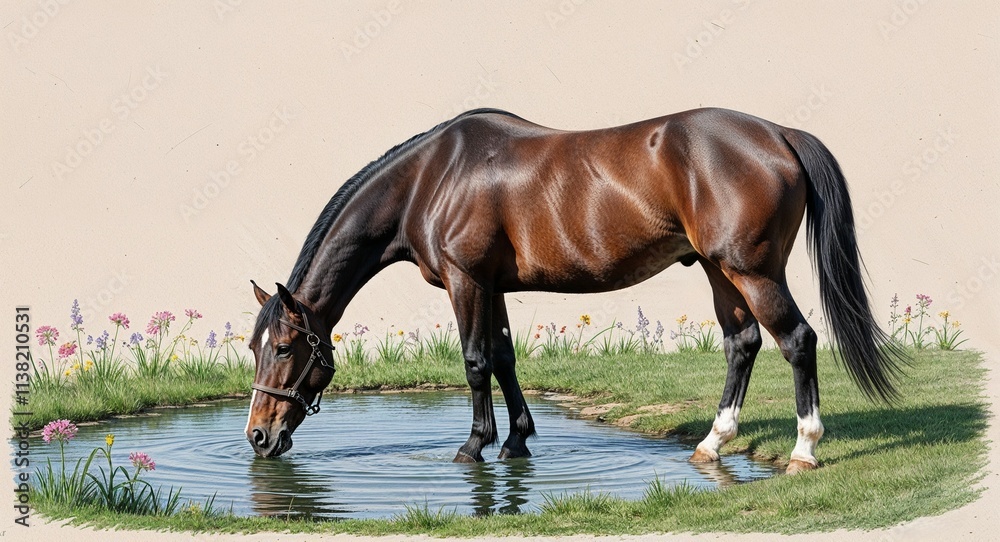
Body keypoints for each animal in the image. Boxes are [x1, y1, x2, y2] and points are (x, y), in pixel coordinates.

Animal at [244, 107, 903, 474]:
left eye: (284, 347)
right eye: (254, 347)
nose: (258, 436)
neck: (432, 179)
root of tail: (780, 135)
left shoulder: (466, 281)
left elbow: (476, 361)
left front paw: (474, 446)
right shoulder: (493, 286)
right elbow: (504, 358)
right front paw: (517, 441)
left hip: (753, 271)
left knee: (798, 340)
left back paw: (804, 450)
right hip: (721, 272)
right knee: (742, 344)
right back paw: (712, 444)